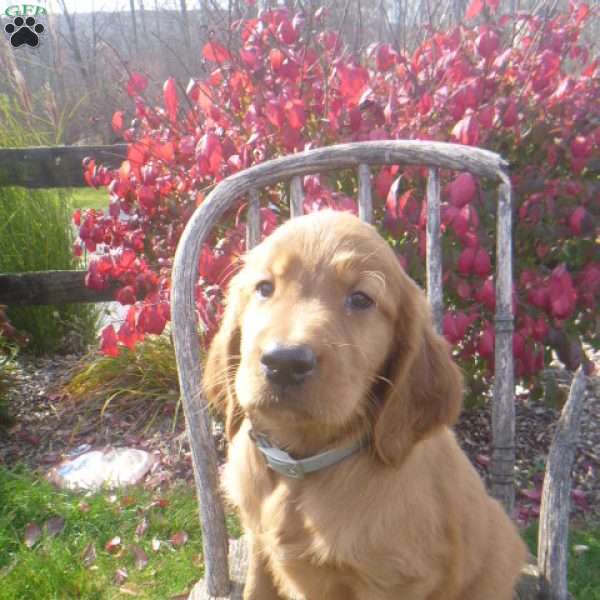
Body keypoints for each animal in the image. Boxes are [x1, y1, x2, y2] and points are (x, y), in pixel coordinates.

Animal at [205, 210, 524, 600]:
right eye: (264, 288)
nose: (284, 362)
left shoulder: (394, 580)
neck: (302, 465)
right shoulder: (260, 546)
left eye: (360, 299)